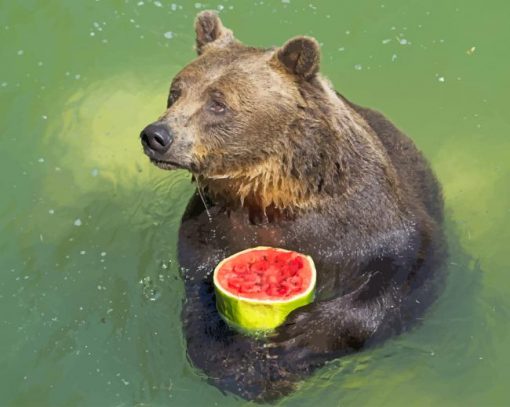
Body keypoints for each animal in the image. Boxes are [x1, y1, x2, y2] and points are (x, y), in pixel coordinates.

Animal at [140, 11, 446, 404]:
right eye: (176, 92)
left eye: (218, 102)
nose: (156, 136)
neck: (270, 194)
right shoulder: (212, 223)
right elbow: (199, 289)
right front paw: (236, 361)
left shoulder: (366, 216)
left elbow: (410, 265)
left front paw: (300, 335)